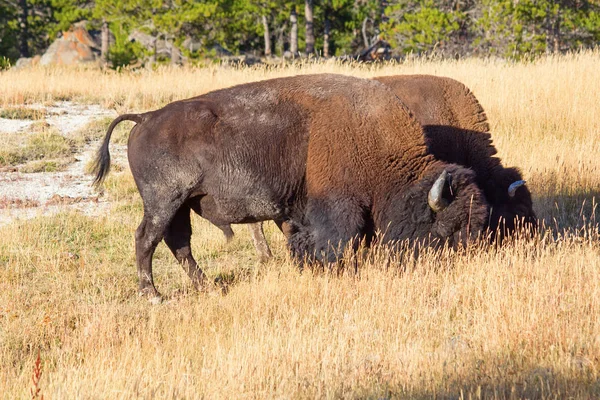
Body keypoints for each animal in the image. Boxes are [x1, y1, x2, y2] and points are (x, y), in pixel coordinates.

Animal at [91, 74, 490, 300]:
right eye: (447, 229)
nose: (463, 263)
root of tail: (145, 119)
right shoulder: (337, 206)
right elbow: (338, 241)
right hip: (164, 202)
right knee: (147, 239)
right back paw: (152, 294)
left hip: (182, 205)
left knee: (179, 243)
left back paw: (207, 287)